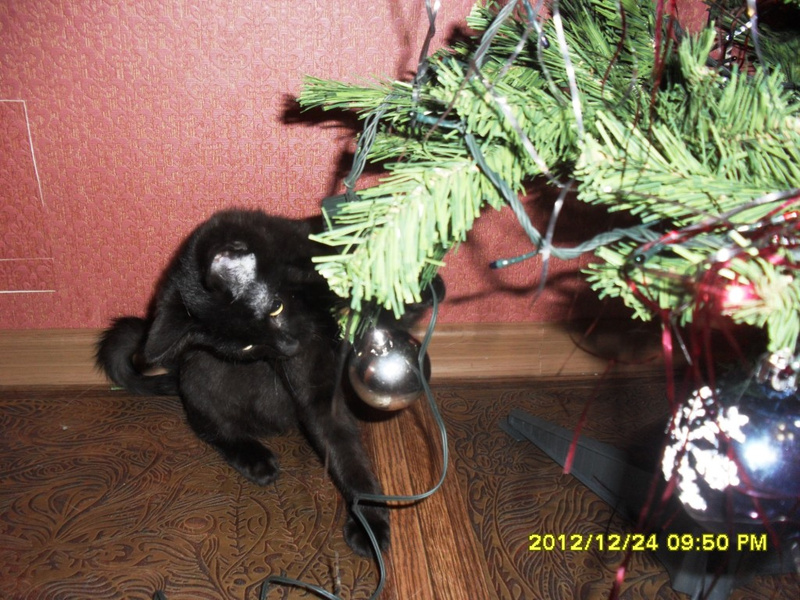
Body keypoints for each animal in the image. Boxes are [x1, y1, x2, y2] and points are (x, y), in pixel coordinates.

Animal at [95, 208, 389, 557]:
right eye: (247, 346)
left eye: (276, 307)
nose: (289, 348)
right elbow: (343, 447)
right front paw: (369, 524)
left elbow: (343, 447)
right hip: (202, 372)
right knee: (207, 425)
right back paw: (253, 457)